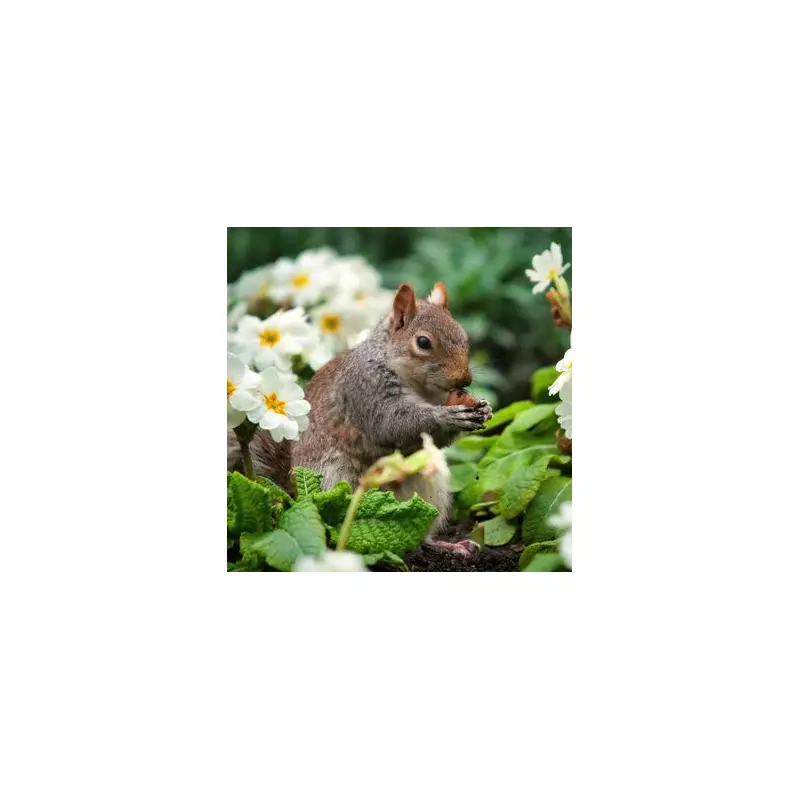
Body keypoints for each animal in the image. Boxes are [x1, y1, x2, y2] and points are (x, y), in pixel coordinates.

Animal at [227, 280, 493, 555]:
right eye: (423, 342)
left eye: (464, 337)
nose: (464, 380)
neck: (418, 385)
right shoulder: (365, 390)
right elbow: (394, 425)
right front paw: (448, 417)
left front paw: (483, 409)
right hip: (337, 482)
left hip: (431, 485)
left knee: (421, 532)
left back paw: (448, 545)